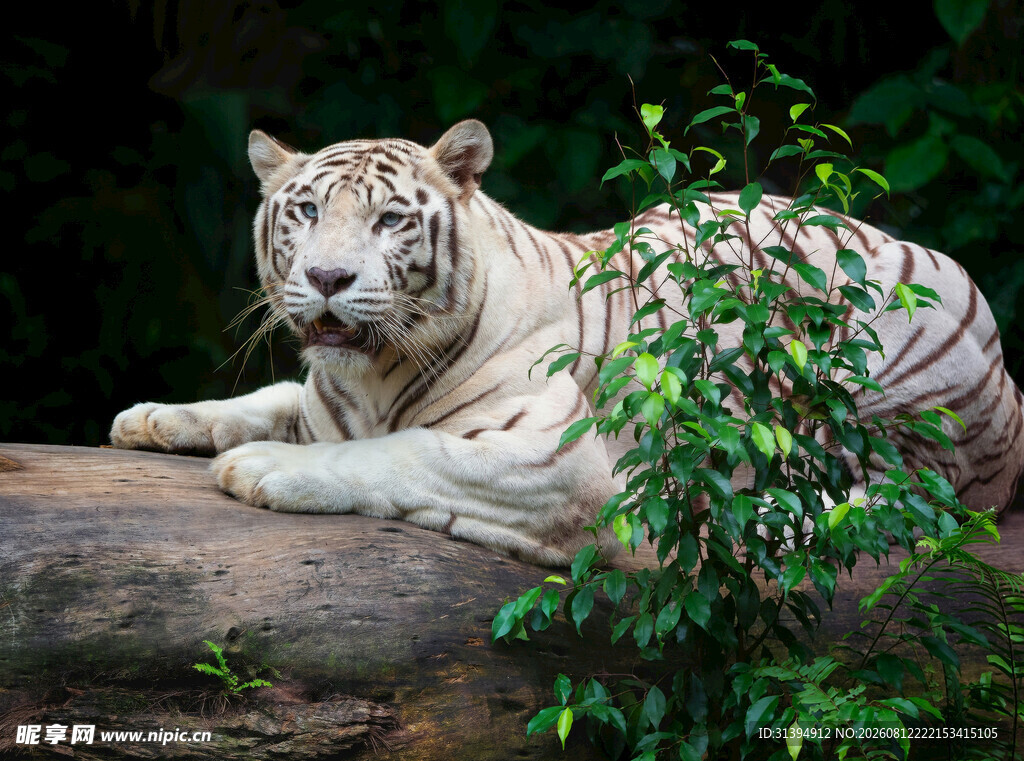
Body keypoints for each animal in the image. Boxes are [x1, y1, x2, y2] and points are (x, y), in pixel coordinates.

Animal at [110, 119, 1024, 566]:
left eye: (390, 219)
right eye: (304, 211)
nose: (328, 277)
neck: (369, 373)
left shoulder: (552, 451)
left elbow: (399, 452)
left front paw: (264, 468)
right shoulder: (323, 396)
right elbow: (264, 400)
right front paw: (153, 417)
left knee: (902, 498)